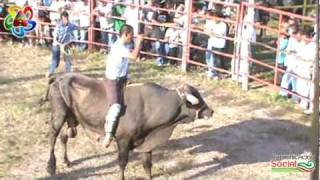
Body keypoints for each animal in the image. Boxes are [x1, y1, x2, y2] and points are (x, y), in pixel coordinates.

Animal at [45, 73, 214, 179]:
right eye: (197, 99)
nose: (211, 111)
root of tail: (59, 78)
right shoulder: (123, 141)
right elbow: (122, 163)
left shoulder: (146, 142)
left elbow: (147, 165)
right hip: (59, 115)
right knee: (53, 136)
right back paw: (51, 167)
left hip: (73, 119)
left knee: (65, 136)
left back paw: (66, 161)